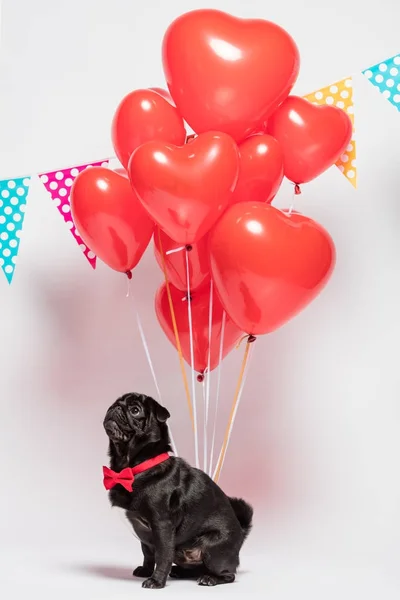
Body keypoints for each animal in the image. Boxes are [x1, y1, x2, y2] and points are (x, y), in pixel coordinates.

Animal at [103, 392, 253, 588]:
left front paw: (156, 581)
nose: (116, 407)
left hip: (212, 549)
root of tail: (241, 533)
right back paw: (179, 571)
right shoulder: (145, 534)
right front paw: (146, 570)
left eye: (135, 410)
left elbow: (163, 555)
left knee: (228, 574)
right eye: (114, 403)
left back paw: (210, 578)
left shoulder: (162, 525)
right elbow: (148, 553)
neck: (134, 468)